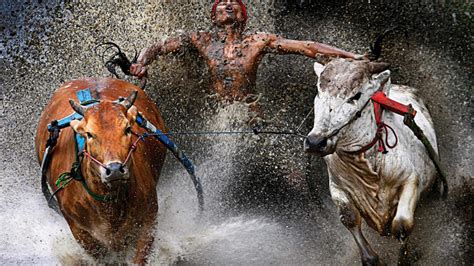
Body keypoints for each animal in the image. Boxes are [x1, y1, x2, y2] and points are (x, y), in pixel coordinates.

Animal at [306, 59, 438, 264]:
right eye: (319, 92)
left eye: (356, 95)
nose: (315, 142)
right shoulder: (337, 187)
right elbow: (349, 218)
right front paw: (372, 259)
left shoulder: (411, 180)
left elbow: (402, 225)